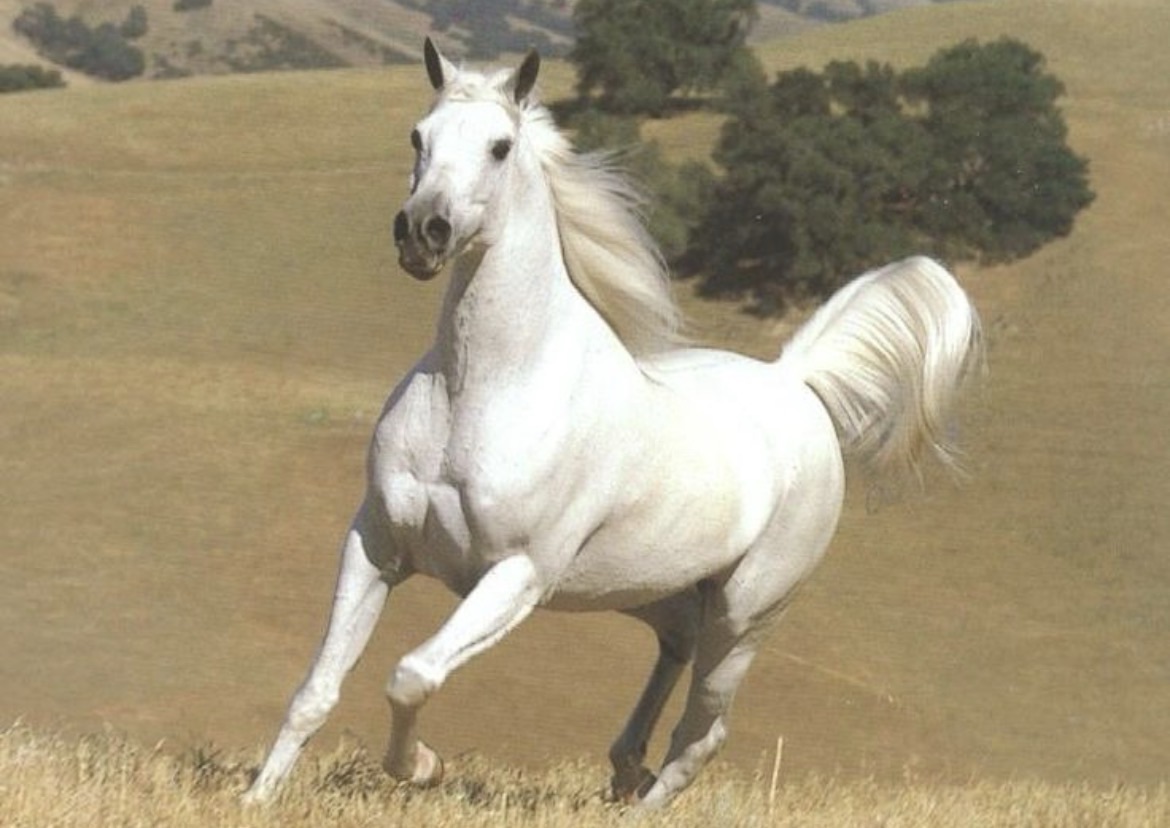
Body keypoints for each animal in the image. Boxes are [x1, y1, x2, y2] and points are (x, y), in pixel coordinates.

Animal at [243, 40, 982, 810]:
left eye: (500, 147)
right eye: (419, 138)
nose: (422, 232)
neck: (479, 388)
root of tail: (794, 383)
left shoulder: (517, 574)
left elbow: (412, 674)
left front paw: (422, 766)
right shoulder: (376, 544)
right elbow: (316, 689)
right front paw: (257, 798)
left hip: (744, 616)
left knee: (703, 733)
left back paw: (643, 799)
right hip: (651, 589)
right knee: (674, 653)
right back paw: (627, 768)